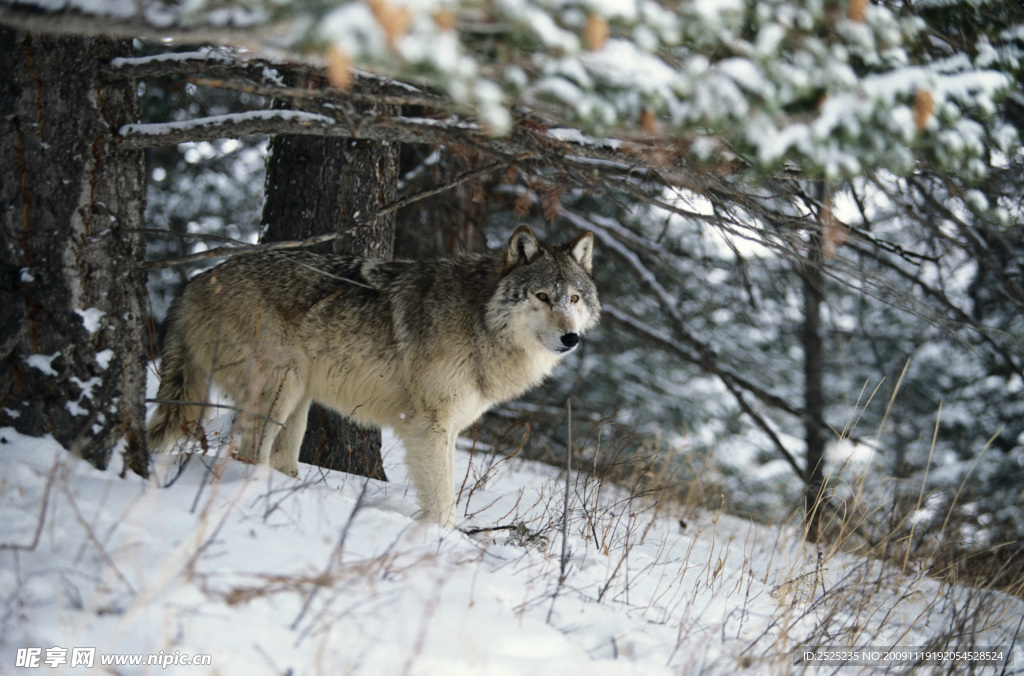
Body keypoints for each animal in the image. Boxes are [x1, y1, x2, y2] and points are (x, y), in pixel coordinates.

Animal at [150, 227, 598, 528]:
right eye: (542, 296)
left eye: (574, 299)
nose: (571, 338)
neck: (479, 318)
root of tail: (194, 281)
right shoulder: (429, 424)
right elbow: (444, 501)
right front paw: (441, 542)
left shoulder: (447, 426)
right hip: (280, 387)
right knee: (248, 455)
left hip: (298, 399)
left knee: (279, 459)